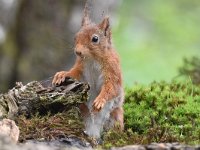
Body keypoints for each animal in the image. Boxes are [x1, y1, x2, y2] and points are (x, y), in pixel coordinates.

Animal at [51, 2, 123, 138]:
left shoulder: (112, 70)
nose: (77, 52)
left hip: (115, 116)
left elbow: (112, 87)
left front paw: (100, 100)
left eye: (95, 39)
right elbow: (74, 73)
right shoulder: (81, 68)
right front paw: (62, 74)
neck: (93, 59)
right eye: (76, 37)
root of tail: (94, 131)